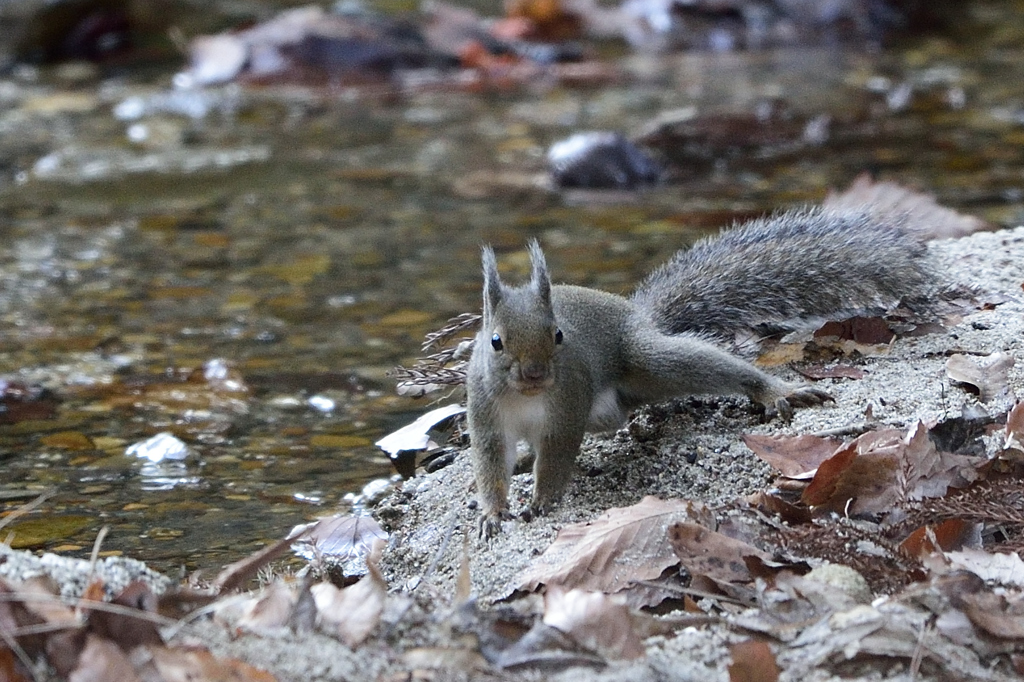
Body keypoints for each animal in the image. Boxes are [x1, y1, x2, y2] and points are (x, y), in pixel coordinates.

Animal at [468, 204, 933, 532]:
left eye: (559, 335)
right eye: (495, 342)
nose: (535, 374)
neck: (526, 398)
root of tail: (640, 317)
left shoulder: (566, 407)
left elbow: (557, 456)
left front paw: (542, 501)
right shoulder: (486, 413)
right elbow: (491, 462)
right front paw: (493, 513)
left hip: (650, 362)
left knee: (707, 367)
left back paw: (775, 391)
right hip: (604, 408)